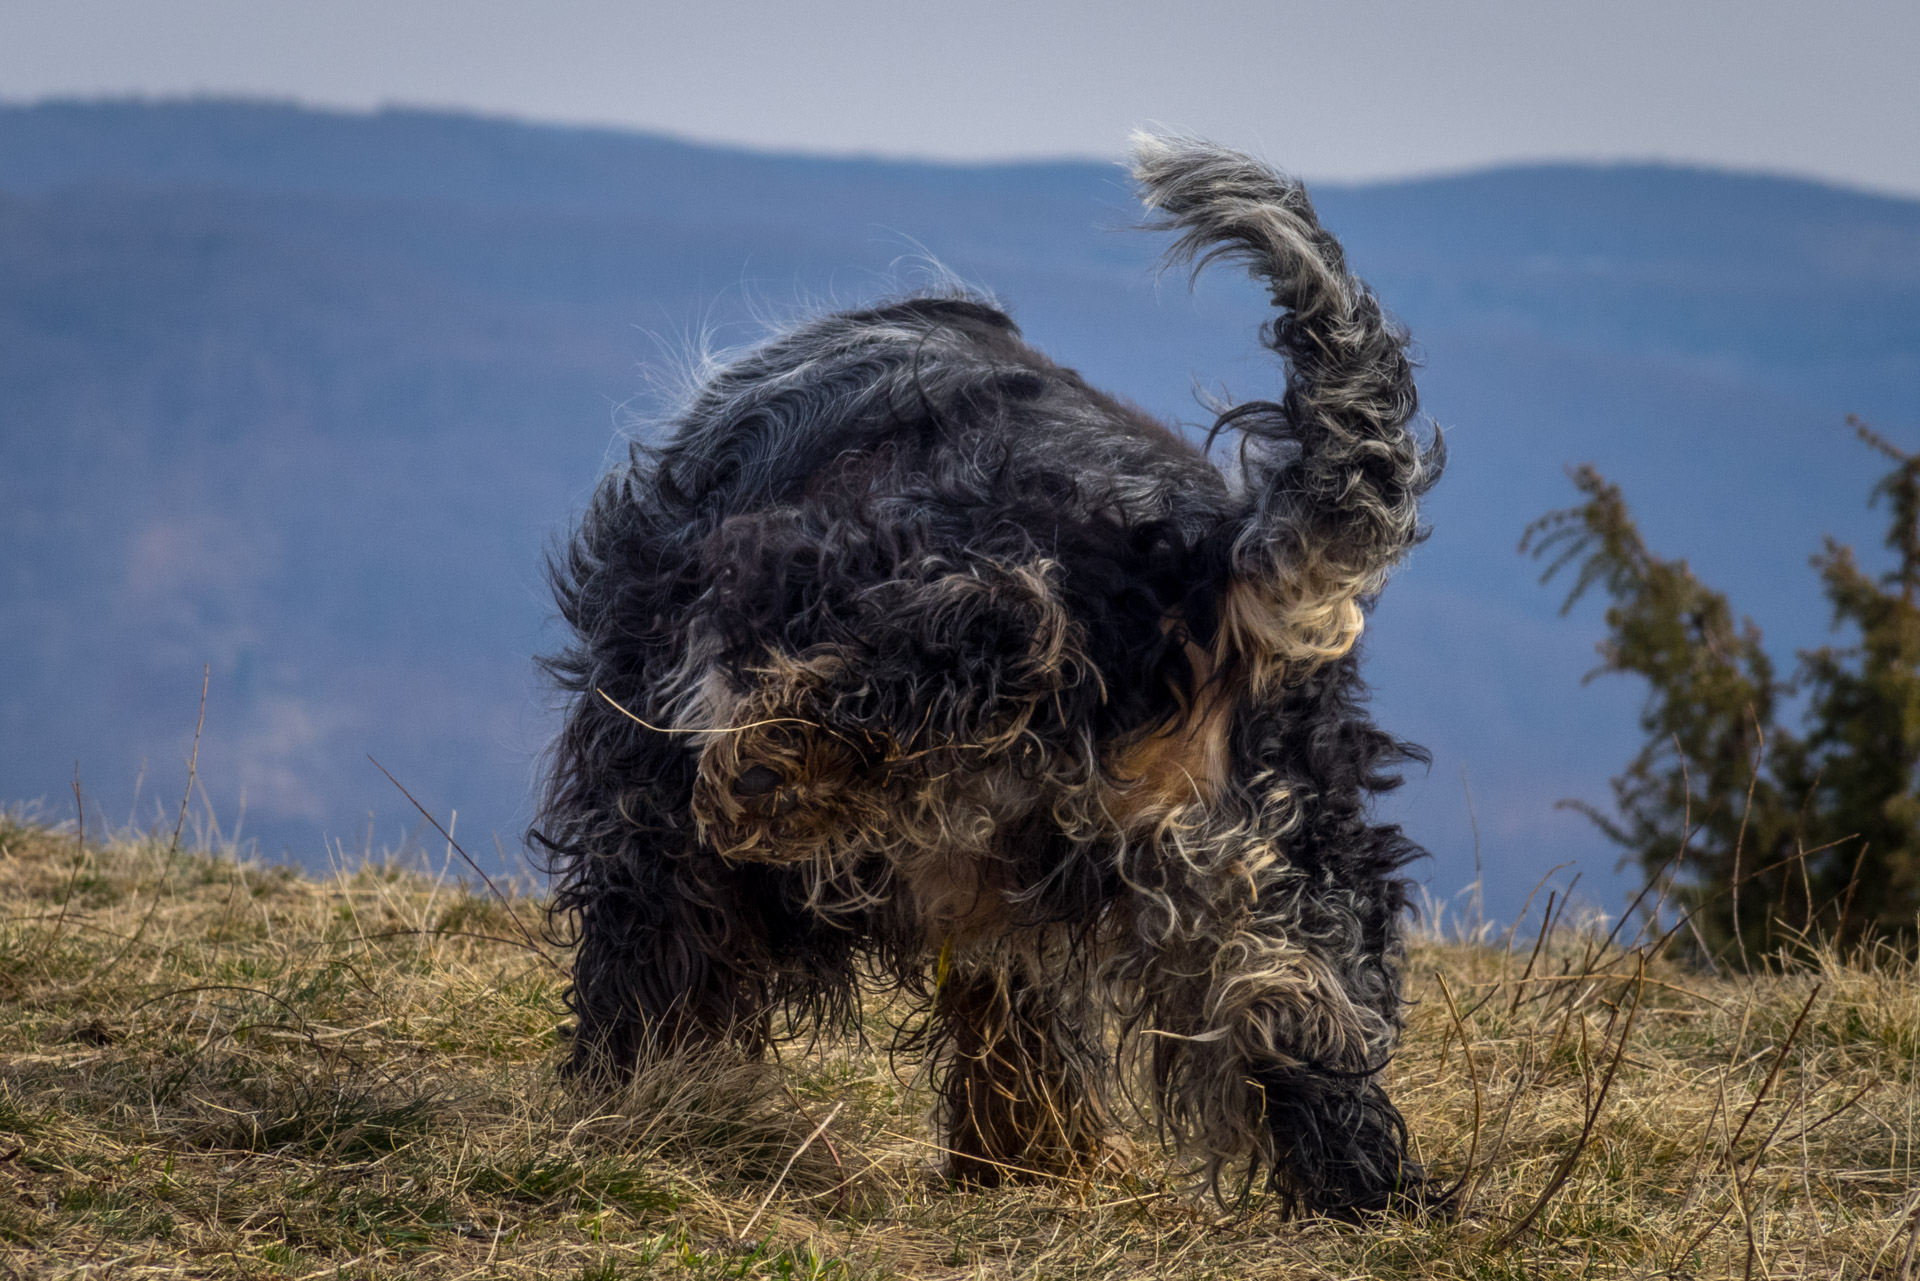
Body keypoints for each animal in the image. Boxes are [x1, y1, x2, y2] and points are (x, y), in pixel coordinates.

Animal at [537, 135, 1443, 1221]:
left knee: (968, 635)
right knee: (1323, 1051)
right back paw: (1367, 1202)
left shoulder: (644, 767)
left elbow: (650, 954)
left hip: (879, 637)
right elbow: (1015, 1026)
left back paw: (784, 767)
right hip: (1281, 887)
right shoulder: (1012, 915)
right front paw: (1022, 1165)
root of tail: (1204, 562)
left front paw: (630, 1097)